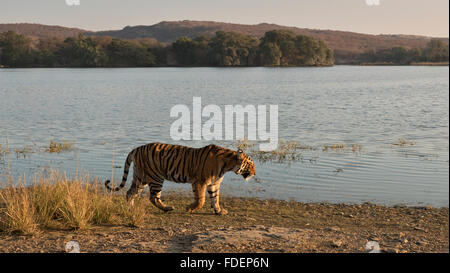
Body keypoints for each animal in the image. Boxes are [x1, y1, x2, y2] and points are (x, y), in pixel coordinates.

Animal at [103, 142, 255, 215]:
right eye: (250, 164)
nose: (254, 173)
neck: (228, 165)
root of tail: (137, 149)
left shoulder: (214, 184)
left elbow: (215, 198)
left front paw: (219, 211)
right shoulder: (200, 182)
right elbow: (201, 200)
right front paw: (190, 208)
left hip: (141, 177)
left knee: (130, 193)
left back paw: (131, 208)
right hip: (156, 177)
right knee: (153, 197)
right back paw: (167, 208)